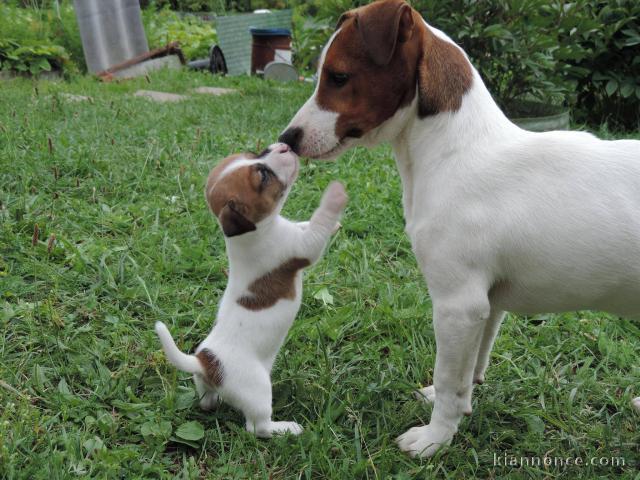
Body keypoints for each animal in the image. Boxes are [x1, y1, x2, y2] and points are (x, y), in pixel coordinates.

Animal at [156, 143, 348, 438]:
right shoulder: (304, 246)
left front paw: (334, 224)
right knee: (257, 427)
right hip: (257, 391)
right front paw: (335, 196)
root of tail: (206, 362)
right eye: (263, 175)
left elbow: (305, 222)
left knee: (206, 400)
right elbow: (318, 223)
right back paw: (287, 428)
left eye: (253, 154)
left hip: (204, 384)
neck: (252, 233)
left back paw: (210, 404)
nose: (281, 145)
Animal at [278, 0, 640, 458]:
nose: (287, 138)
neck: (456, 149)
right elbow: (468, 370)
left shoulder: (458, 305)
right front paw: (450, 404)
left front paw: (435, 438)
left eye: (339, 77)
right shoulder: (485, 306)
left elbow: (451, 377)